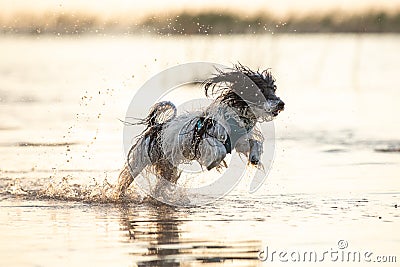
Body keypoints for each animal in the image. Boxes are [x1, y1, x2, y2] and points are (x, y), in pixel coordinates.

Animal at [115, 64, 284, 199]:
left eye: (273, 89)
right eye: (260, 90)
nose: (281, 104)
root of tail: (156, 127)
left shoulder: (240, 139)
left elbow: (255, 143)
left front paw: (255, 157)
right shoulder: (205, 138)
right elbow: (219, 148)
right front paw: (215, 161)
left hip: (168, 169)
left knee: (160, 186)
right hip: (139, 161)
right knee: (125, 180)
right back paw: (119, 194)